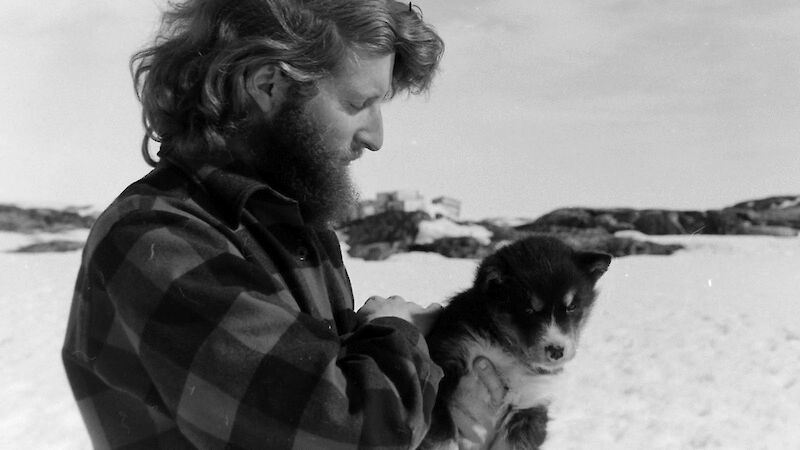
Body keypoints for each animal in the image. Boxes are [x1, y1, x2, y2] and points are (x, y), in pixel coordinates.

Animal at [422, 237, 608, 448]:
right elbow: (442, 436)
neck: (506, 349)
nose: (556, 351)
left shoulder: (530, 404)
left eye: (572, 307)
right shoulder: (442, 368)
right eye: (529, 310)